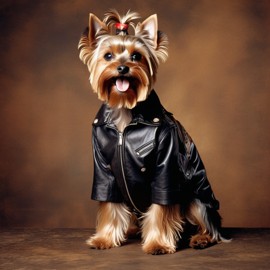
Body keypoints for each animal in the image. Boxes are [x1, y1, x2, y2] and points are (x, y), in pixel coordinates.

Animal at [78, 9, 228, 254]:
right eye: (108, 56)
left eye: (136, 56)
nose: (123, 67)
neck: (126, 115)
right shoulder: (104, 168)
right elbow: (109, 202)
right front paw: (104, 239)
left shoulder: (165, 167)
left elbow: (160, 207)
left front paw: (157, 243)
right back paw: (131, 230)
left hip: (197, 200)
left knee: (209, 226)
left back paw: (200, 238)